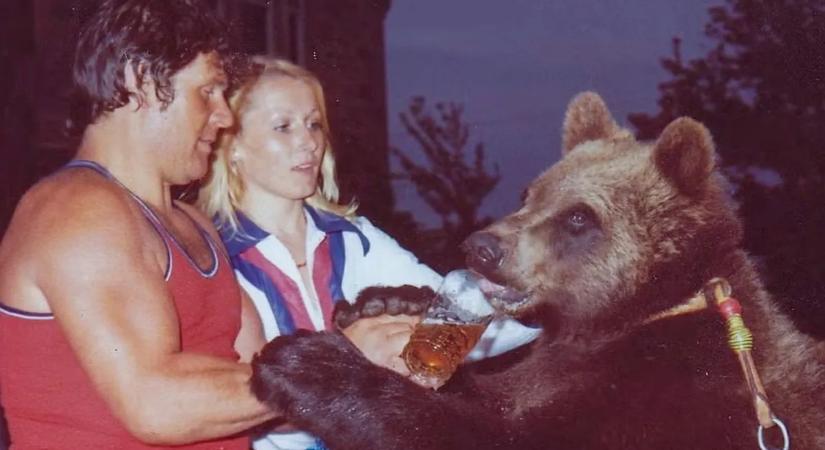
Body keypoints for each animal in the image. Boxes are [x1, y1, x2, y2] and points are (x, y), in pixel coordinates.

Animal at [249, 92, 825, 450]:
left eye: (579, 217)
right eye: (531, 192)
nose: (481, 247)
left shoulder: (665, 397)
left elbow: (502, 432)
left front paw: (305, 363)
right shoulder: (560, 370)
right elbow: (499, 392)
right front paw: (384, 301)